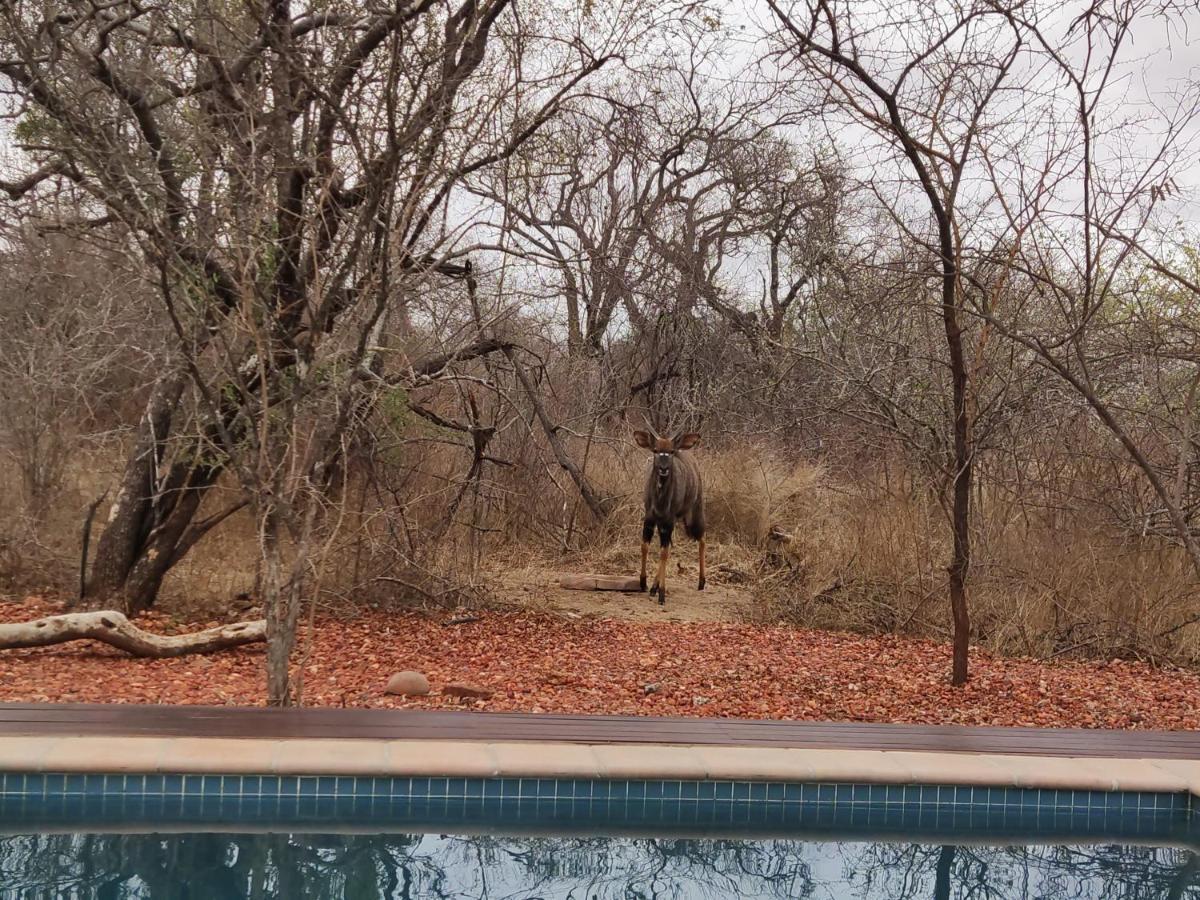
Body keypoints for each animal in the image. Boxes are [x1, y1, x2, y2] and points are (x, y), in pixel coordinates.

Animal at [638, 429, 700, 607]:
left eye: (671, 451)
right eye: (655, 450)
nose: (663, 469)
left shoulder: (668, 521)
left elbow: (663, 553)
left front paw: (662, 594)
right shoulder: (650, 519)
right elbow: (645, 546)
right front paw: (643, 583)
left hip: (694, 512)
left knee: (702, 539)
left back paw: (702, 583)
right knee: (669, 547)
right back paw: (653, 587)